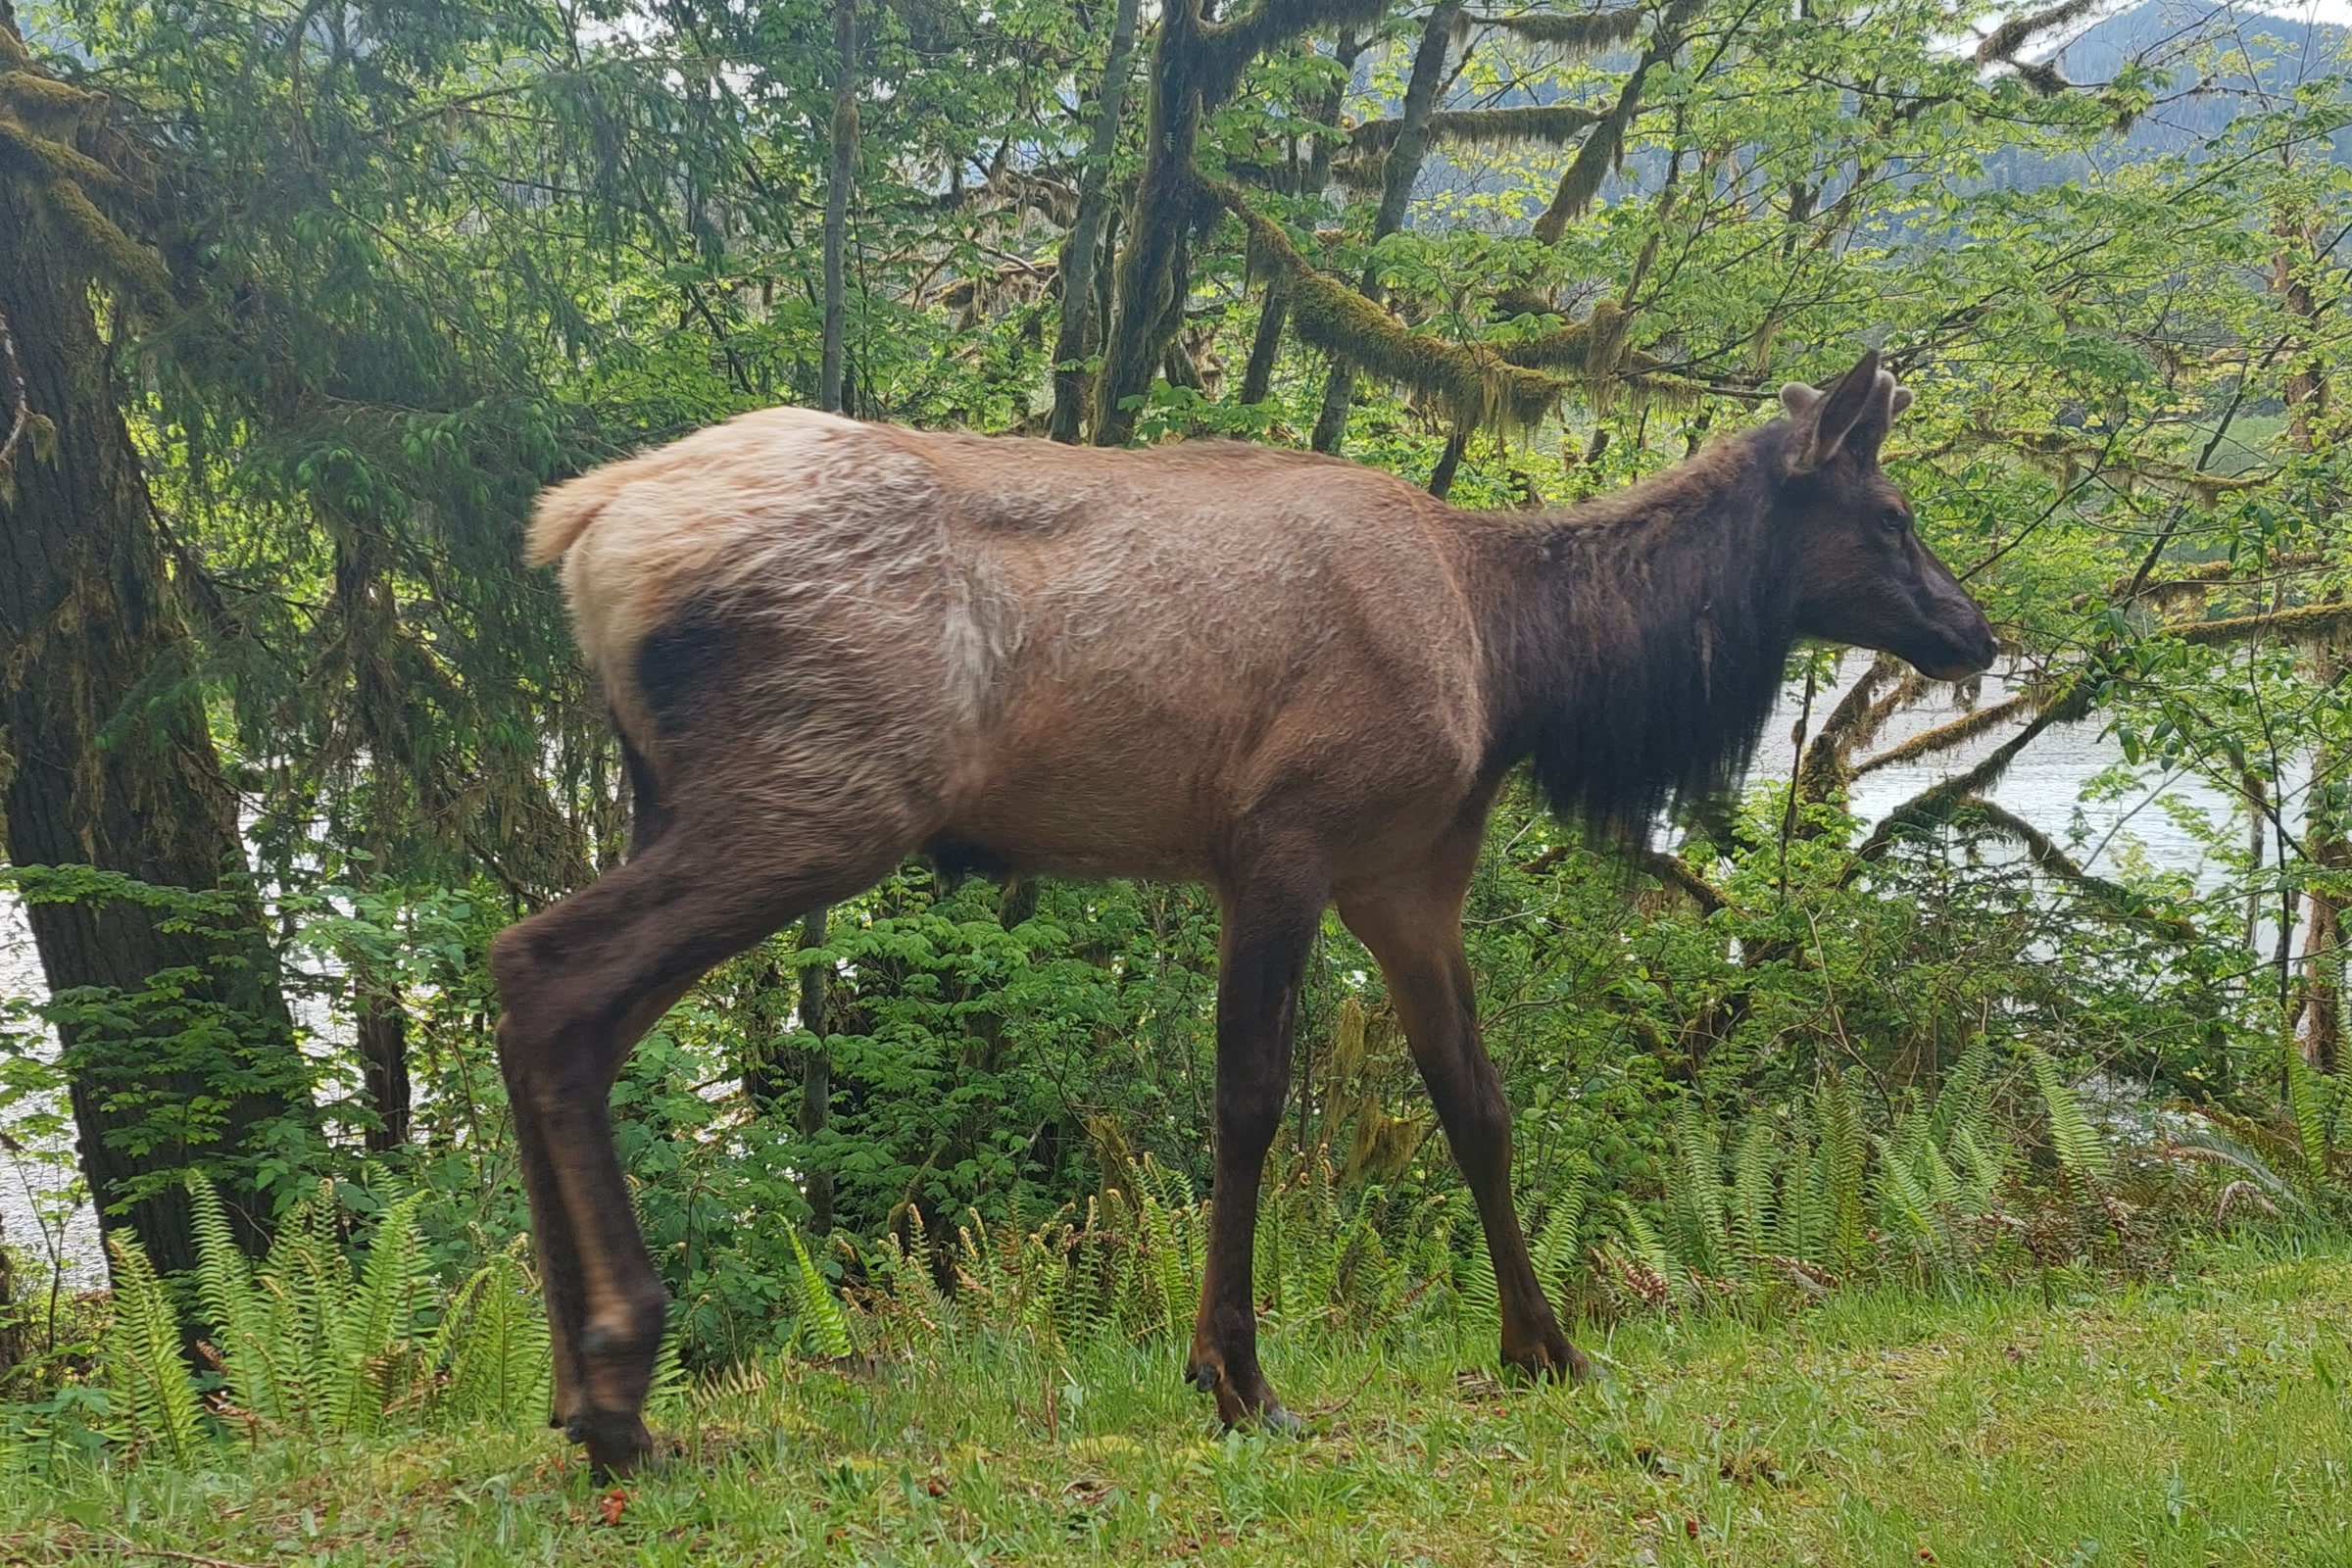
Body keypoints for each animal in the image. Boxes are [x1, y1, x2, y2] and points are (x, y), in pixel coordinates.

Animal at [494, 348, 1998, 1474]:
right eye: (1894, 515)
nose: (1975, 629)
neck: (1520, 667)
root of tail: (580, 529)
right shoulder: (1285, 838)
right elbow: (1249, 1100)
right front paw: (1236, 1373)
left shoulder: (1409, 877)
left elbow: (1478, 1103)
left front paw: (1547, 1343)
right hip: (823, 795)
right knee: (547, 967)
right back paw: (620, 1383)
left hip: (680, 793)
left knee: (551, 999)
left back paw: (580, 1387)